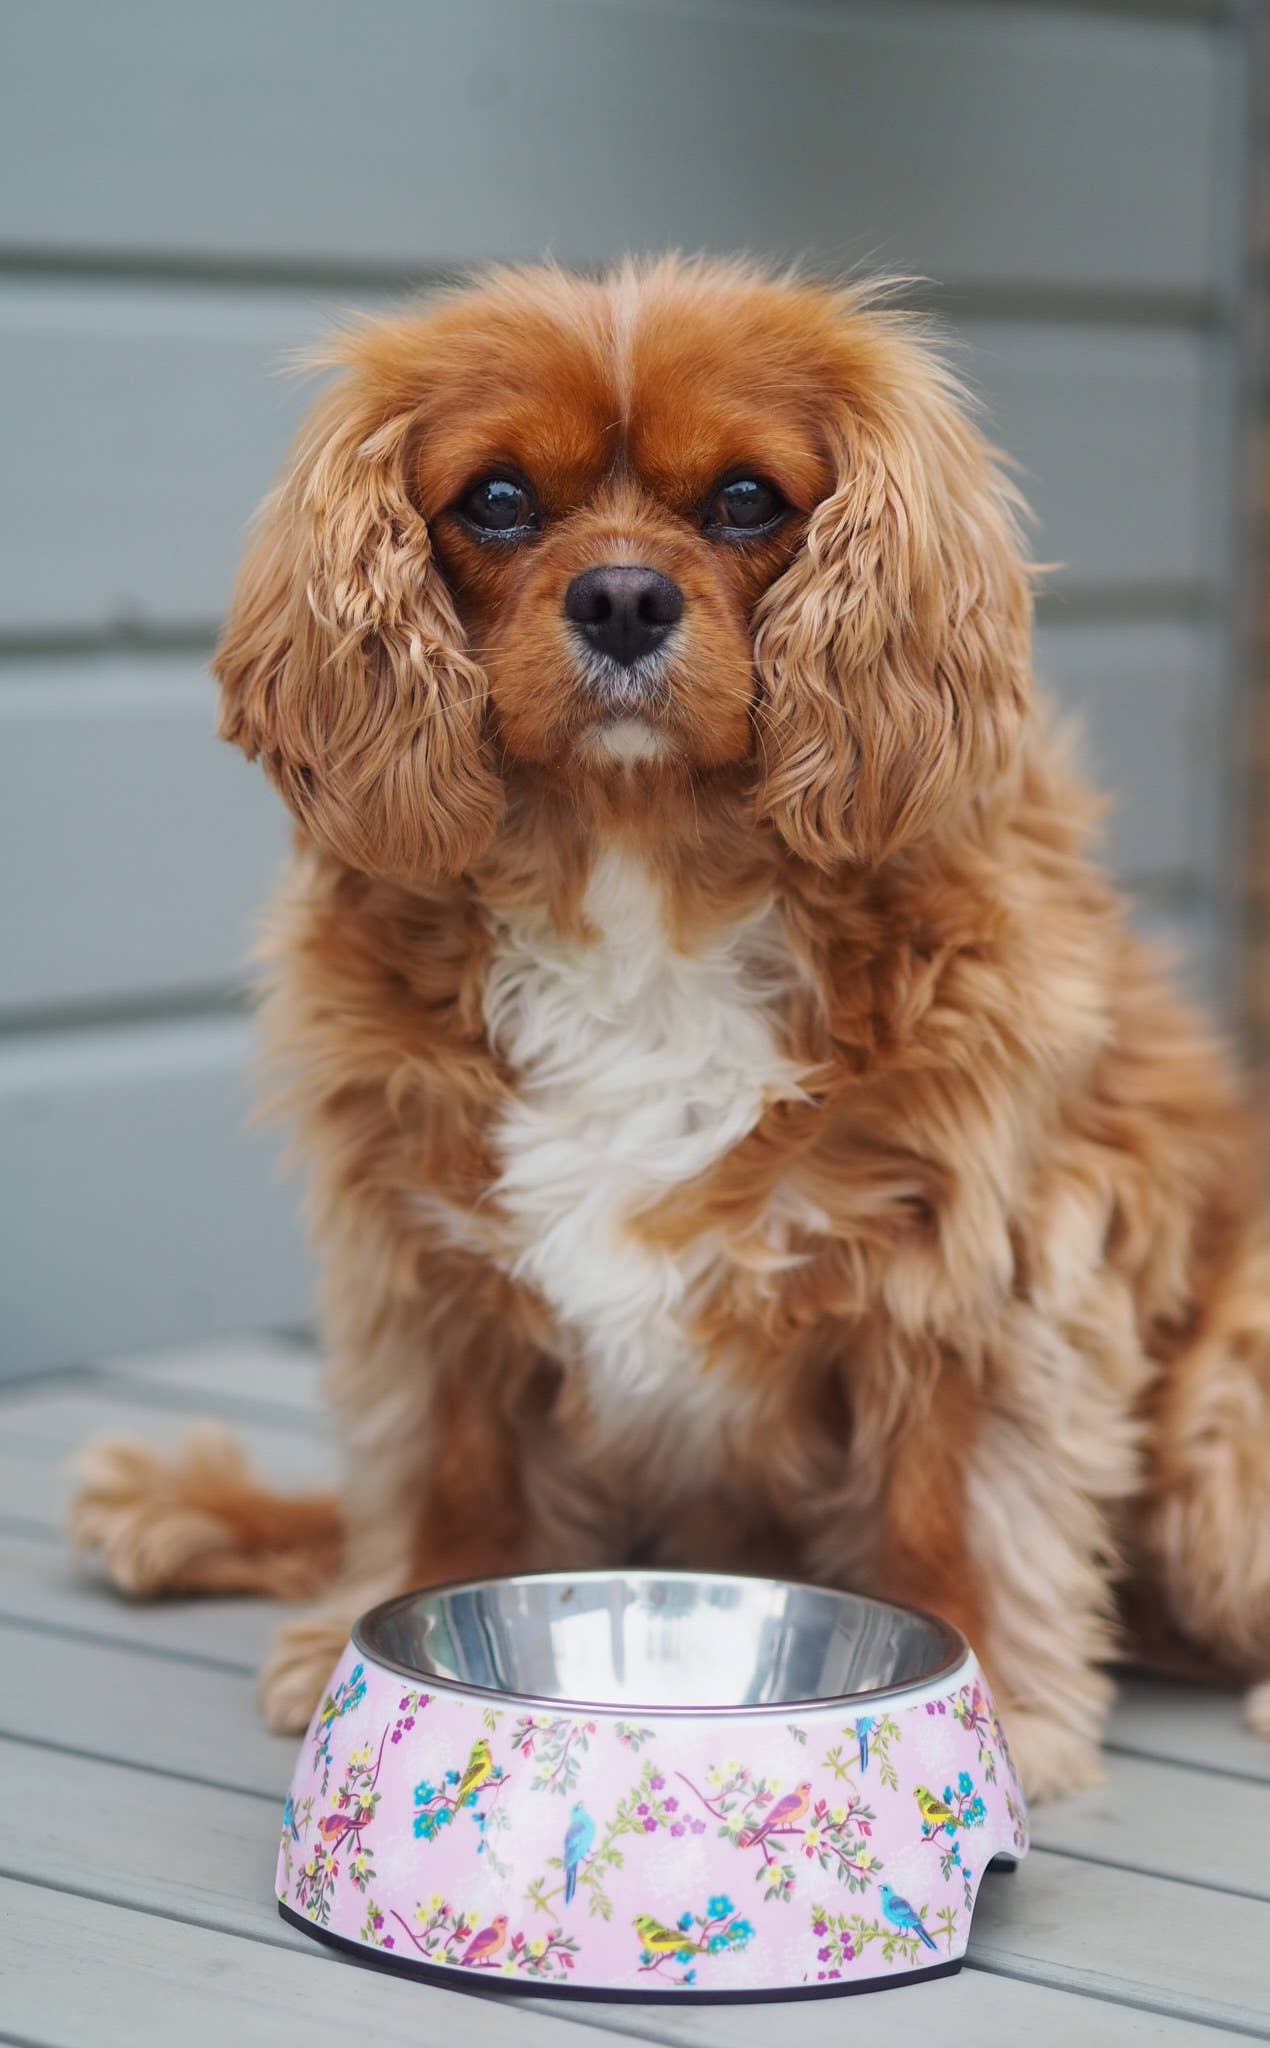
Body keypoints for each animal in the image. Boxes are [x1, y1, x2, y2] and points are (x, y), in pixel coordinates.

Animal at [71, 260, 1270, 1810]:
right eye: (498, 499)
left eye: (749, 499)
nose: (626, 594)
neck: (639, 865)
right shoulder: (427, 1251)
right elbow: (448, 1463)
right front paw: (398, 1604)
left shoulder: (984, 1259)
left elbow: (948, 1496)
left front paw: (990, 1700)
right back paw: (197, 1510)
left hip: (1228, 1417)